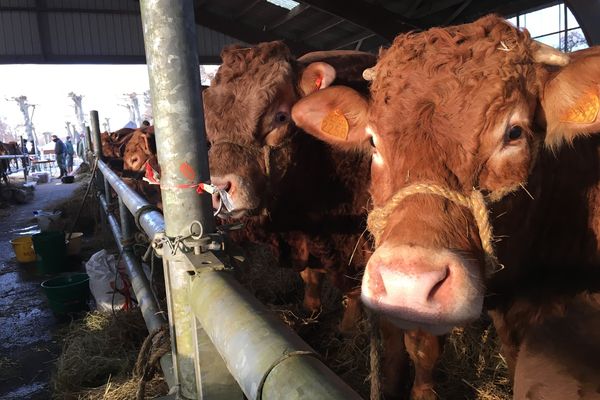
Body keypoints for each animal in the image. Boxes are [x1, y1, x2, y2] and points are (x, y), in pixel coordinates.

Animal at [203, 42, 440, 398]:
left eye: (280, 115)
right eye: (210, 123)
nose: (220, 189)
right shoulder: (310, 237)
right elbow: (314, 281)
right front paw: (318, 316)